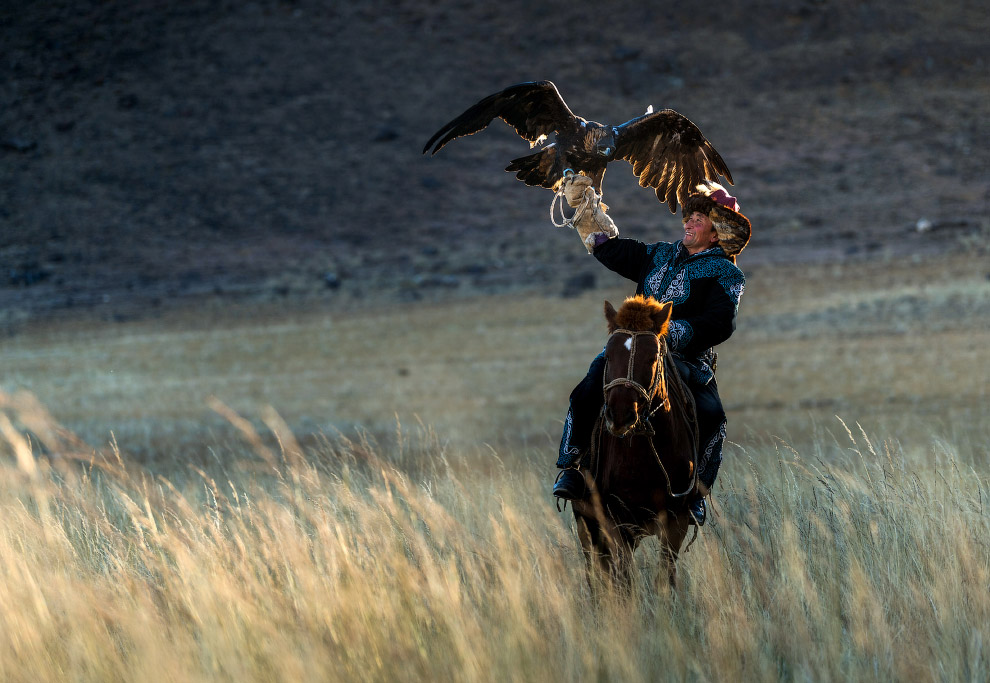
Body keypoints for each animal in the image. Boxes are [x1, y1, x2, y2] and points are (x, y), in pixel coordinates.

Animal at [568, 296, 700, 592]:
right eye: (608, 355)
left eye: (652, 357)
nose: (620, 416)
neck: (640, 456)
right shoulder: (615, 521)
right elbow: (624, 581)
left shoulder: (676, 520)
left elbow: (666, 576)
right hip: (587, 522)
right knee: (596, 572)